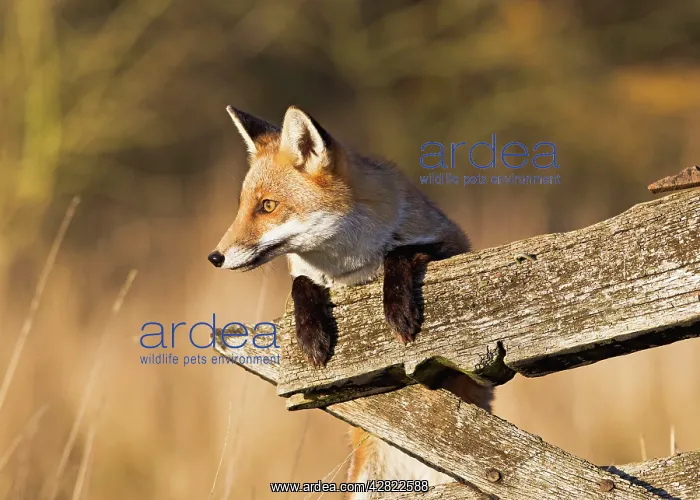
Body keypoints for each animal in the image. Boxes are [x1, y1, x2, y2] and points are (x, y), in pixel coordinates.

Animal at [208, 105, 493, 497]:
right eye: (243, 207)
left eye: (267, 206)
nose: (215, 257)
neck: (349, 270)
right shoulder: (311, 278)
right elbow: (301, 283)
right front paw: (312, 336)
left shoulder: (454, 249)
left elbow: (401, 252)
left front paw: (399, 311)